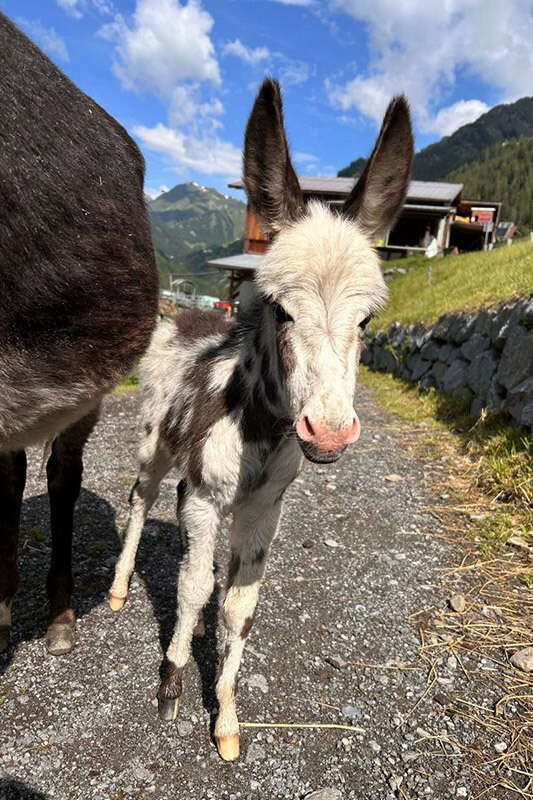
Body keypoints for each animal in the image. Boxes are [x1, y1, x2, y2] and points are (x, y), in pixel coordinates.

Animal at [110, 78, 414, 760]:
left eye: (367, 320)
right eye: (281, 310)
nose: (329, 432)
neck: (259, 426)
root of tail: (188, 314)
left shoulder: (264, 507)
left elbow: (238, 605)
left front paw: (225, 717)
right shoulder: (202, 497)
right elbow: (194, 590)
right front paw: (170, 687)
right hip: (155, 443)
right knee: (142, 499)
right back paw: (117, 588)